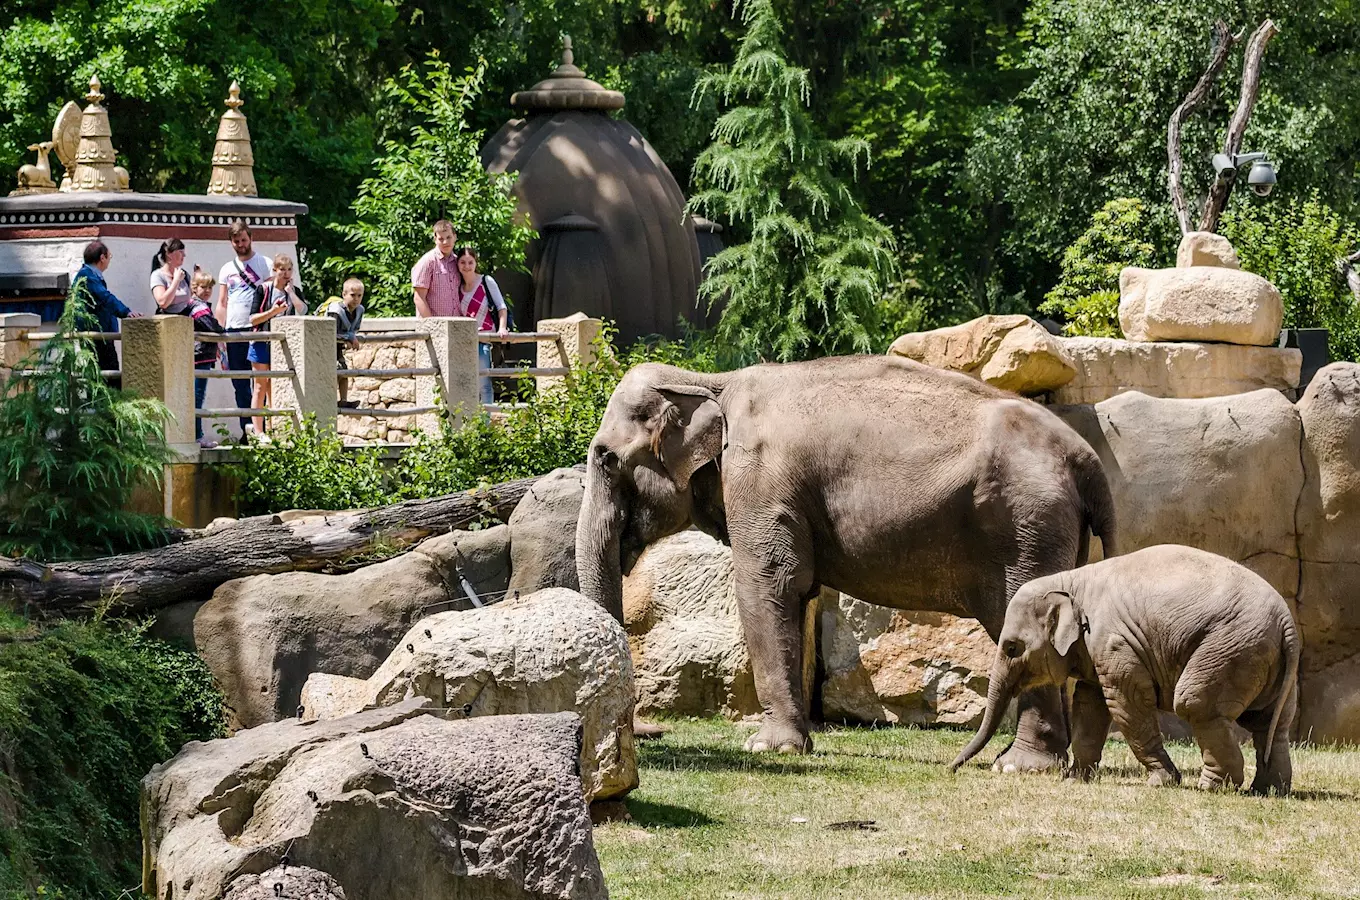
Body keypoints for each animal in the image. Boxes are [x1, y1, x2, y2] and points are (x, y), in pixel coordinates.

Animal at [575, 356, 1117, 770]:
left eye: (604, 458)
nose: (650, 731)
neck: (709, 380)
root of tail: (1087, 460)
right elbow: (796, 596)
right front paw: (794, 744)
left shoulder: (759, 479)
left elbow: (766, 585)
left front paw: (768, 749)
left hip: (1027, 530)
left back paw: (1020, 766)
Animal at [950, 544, 1300, 794]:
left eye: (1012, 647)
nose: (951, 770)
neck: (1072, 579)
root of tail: (1287, 624)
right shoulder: (1095, 651)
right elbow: (1089, 706)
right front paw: (1074, 780)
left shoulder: (1114, 643)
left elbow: (1126, 705)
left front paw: (1160, 783)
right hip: (1264, 660)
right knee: (1271, 723)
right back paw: (1269, 791)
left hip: (1230, 648)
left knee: (1196, 705)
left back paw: (1211, 788)